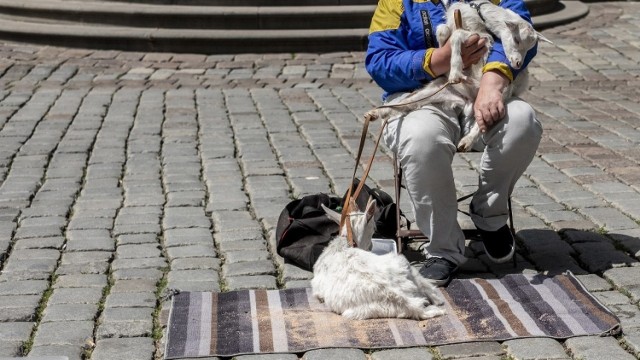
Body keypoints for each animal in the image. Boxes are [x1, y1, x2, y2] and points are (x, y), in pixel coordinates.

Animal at [310, 197, 444, 320]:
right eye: (374, 228)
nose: (371, 247)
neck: (344, 243)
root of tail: (400, 299)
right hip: (402, 263)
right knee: (425, 288)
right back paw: (437, 299)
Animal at [364, 0, 552, 151]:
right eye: (516, 40)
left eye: (530, 48)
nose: (518, 64)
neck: (477, 15)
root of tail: (469, 101)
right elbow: (444, 31)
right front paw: (445, 53)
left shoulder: (481, 37)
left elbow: (457, 35)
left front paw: (455, 71)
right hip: (437, 91)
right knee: (407, 103)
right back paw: (376, 112)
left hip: (500, 93)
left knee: (483, 121)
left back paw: (466, 141)